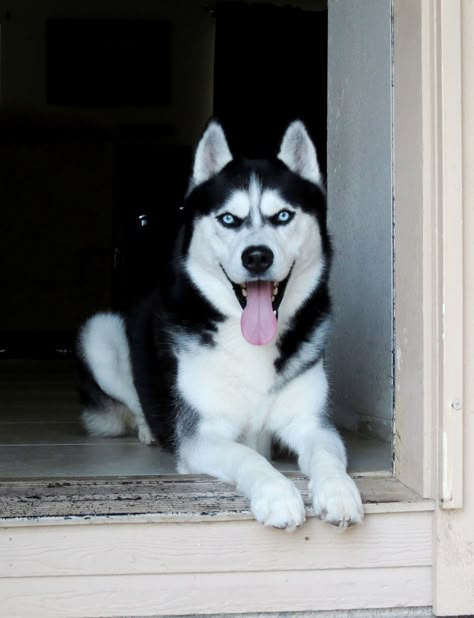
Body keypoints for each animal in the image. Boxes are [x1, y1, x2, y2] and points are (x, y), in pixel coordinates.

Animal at [78, 119, 362, 528]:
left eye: (283, 216)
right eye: (229, 219)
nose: (257, 256)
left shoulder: (311, 423)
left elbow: (326, 456)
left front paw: (338, 491)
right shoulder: (203, 437)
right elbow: (249, 456)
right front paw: (277, 494)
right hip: (99, 334)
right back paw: (149, 428)